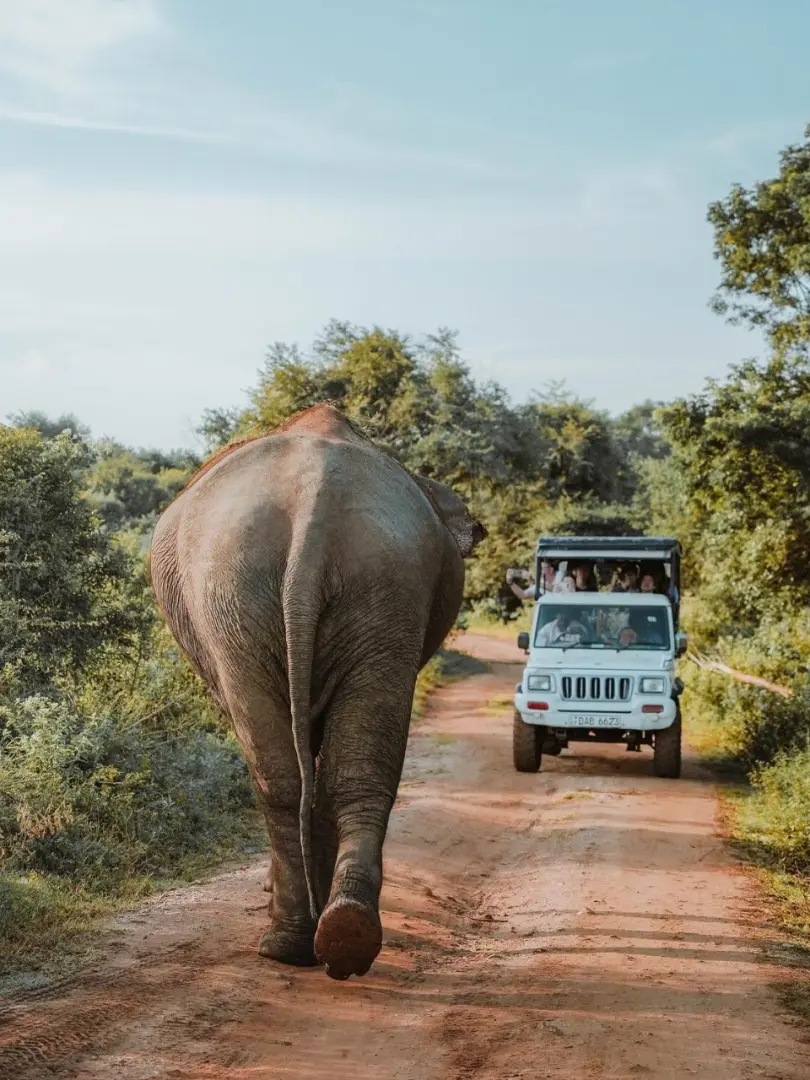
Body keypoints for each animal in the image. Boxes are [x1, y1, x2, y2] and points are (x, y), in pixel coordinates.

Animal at [148, 403, 487, 980]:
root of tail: (314, 508)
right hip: (371, 581)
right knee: (347, 772)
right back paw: (344, 933)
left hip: (236, 595)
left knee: (281, 772)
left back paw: (290, 944)